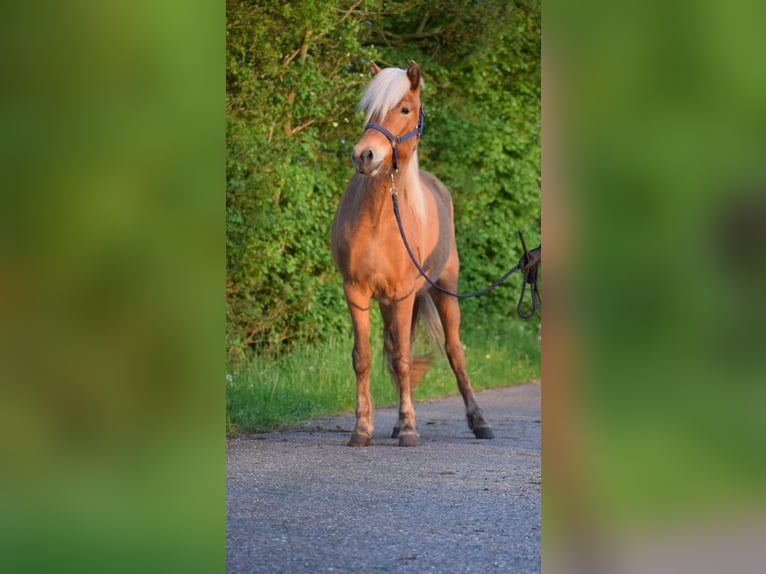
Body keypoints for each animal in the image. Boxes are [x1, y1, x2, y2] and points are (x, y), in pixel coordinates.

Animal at [332, 62, 496, 450]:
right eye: (369, 110)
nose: (364, 156)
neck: (381, 217)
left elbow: (406, 359)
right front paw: (362, 428)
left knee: (454, 352)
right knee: (393, 349)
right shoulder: (356, 292)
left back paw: (479, 422)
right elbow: (364, 358)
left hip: (443, 292)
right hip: (388, 303)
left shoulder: (405, 294)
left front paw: (409, 428)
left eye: (405, 109)